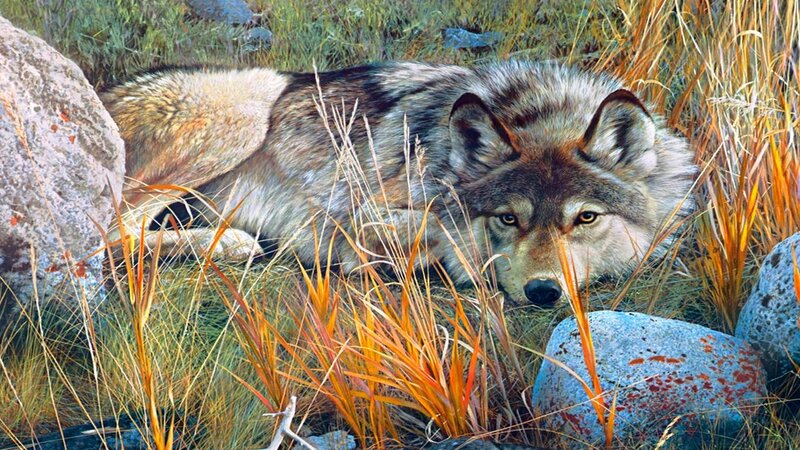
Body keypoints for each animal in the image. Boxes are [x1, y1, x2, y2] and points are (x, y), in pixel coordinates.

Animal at [101, 61, 695, 306]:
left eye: (585, 218)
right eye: (508, 218)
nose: (544, 293)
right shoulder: (358, 213)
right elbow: (441, 228)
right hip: (251, 101)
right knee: (109, 234)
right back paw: (230, 243)